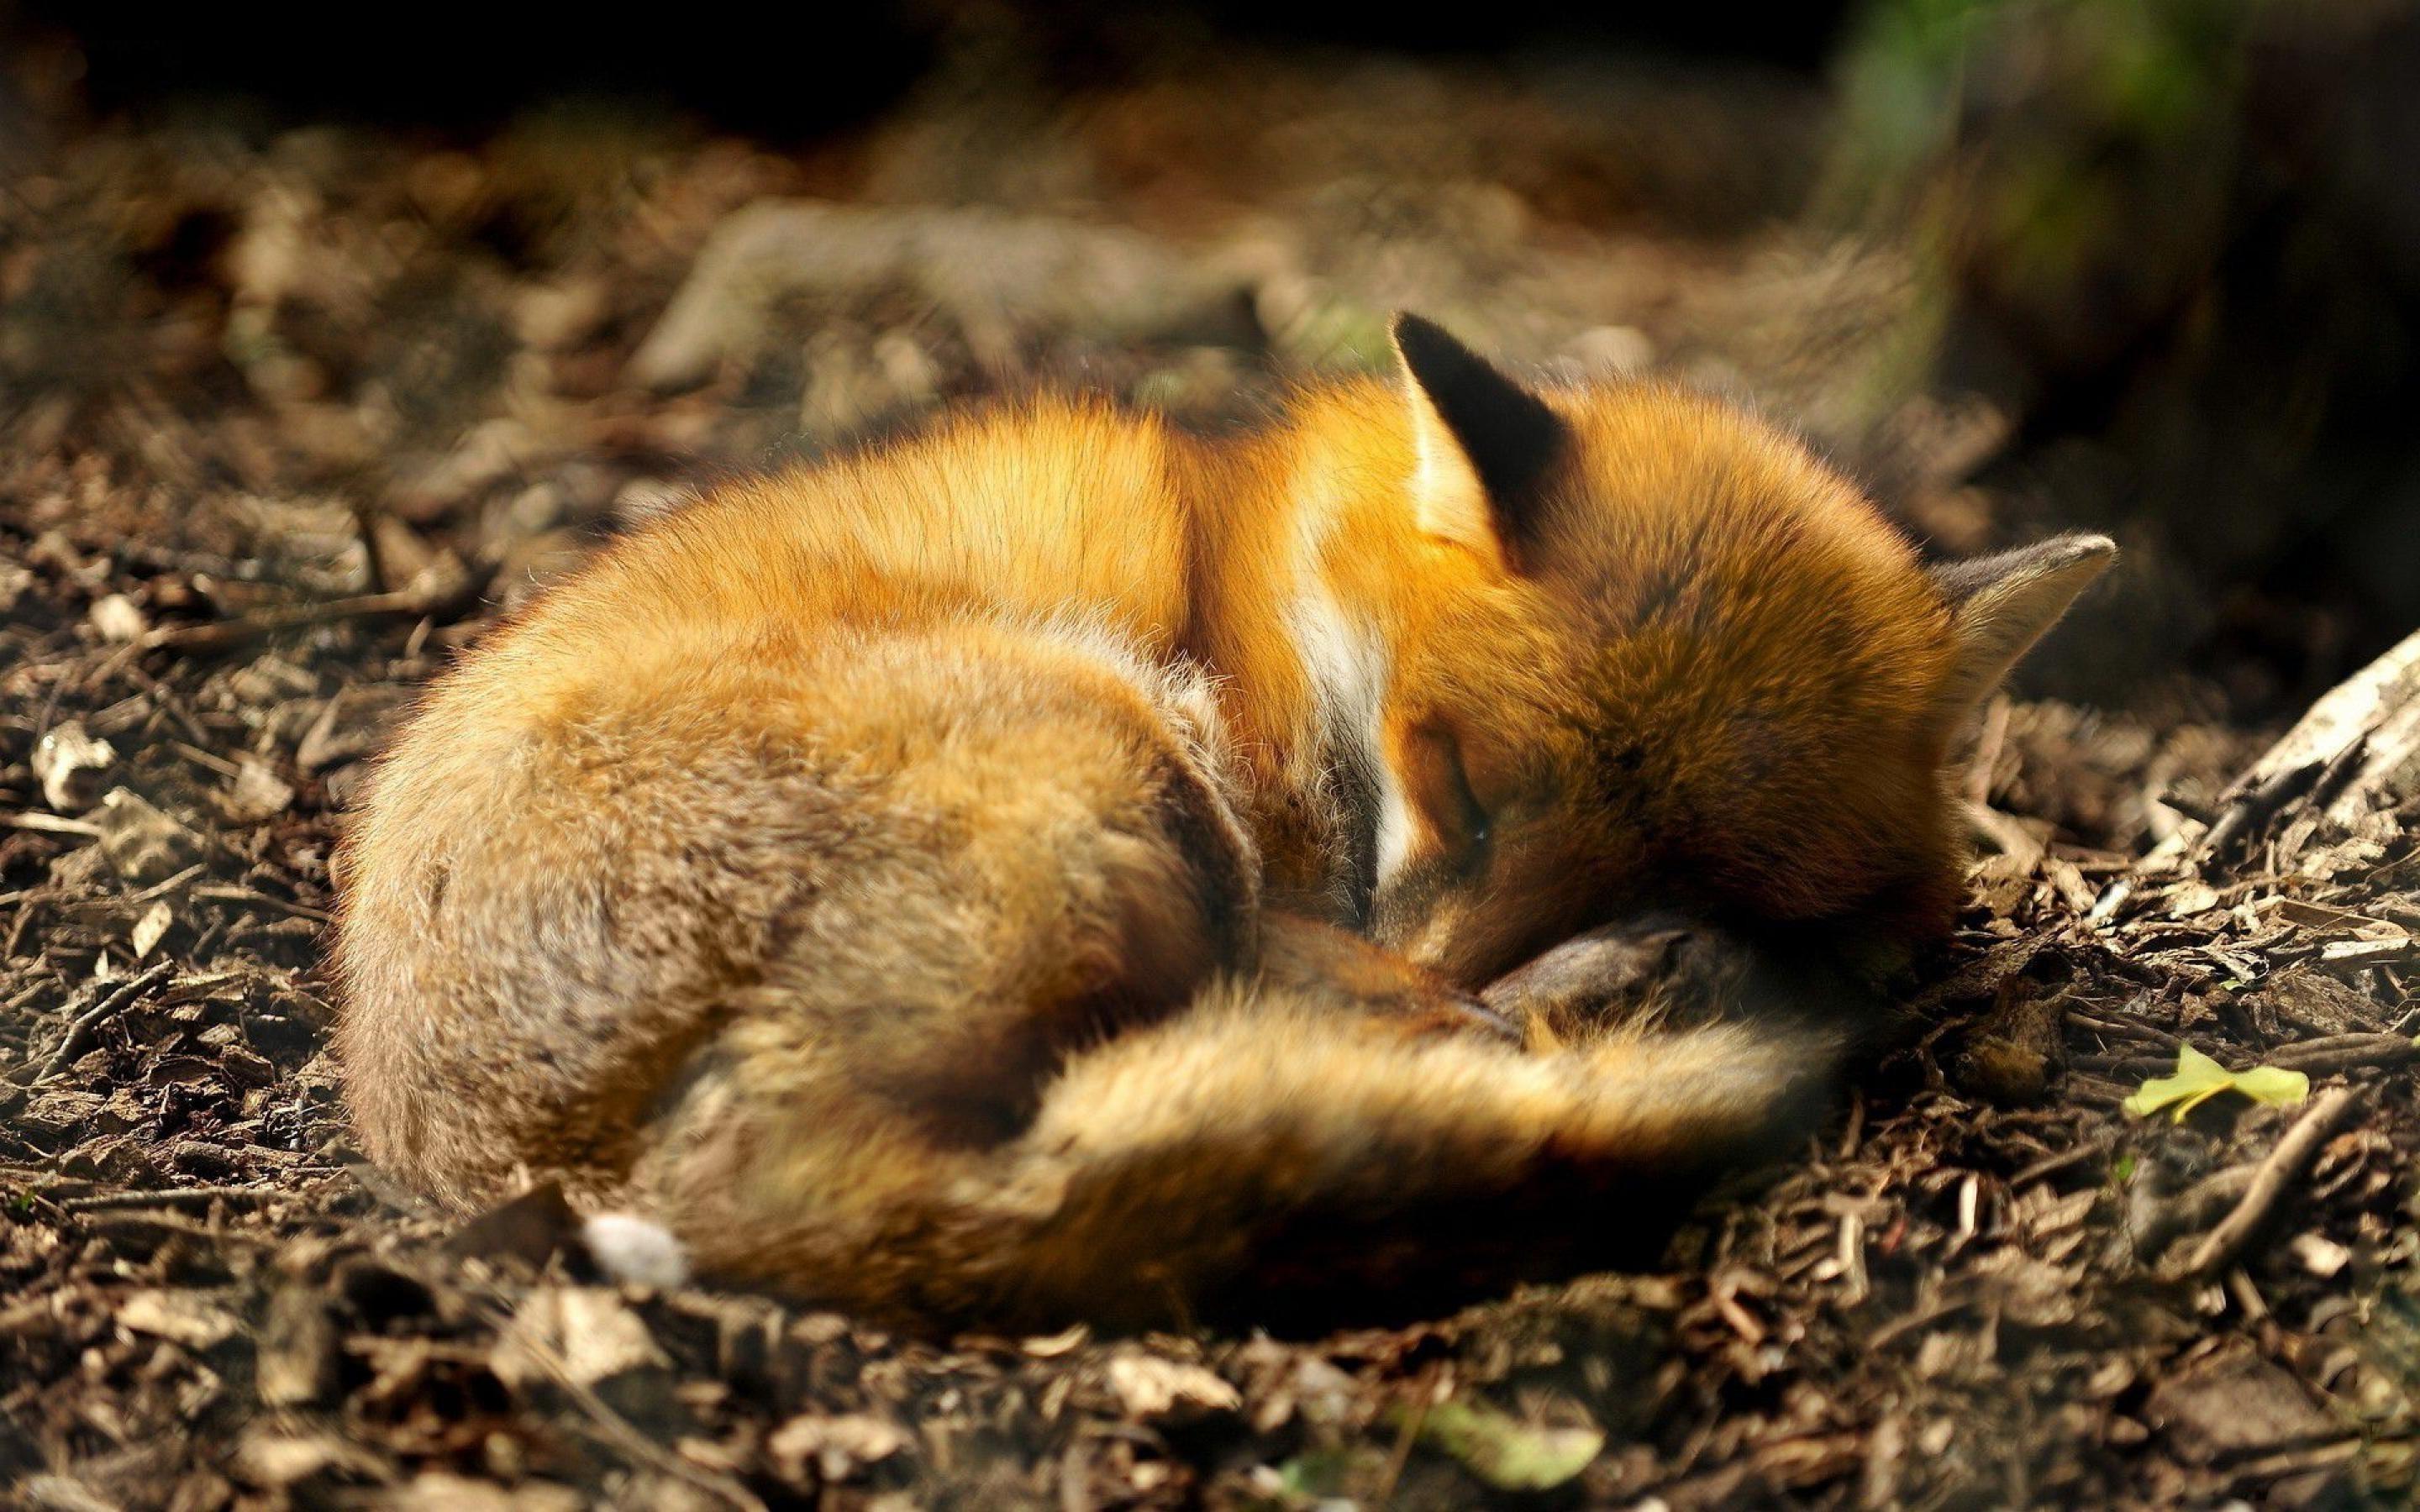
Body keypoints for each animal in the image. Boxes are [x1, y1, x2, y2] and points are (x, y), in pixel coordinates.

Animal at [332, 314, 2111, 1330]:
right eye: (1458, 780)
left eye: (1706, 860)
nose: (1471, 967)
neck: (1275, 597)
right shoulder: (1283, 842)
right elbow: (1335, 960)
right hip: (1115, 753)